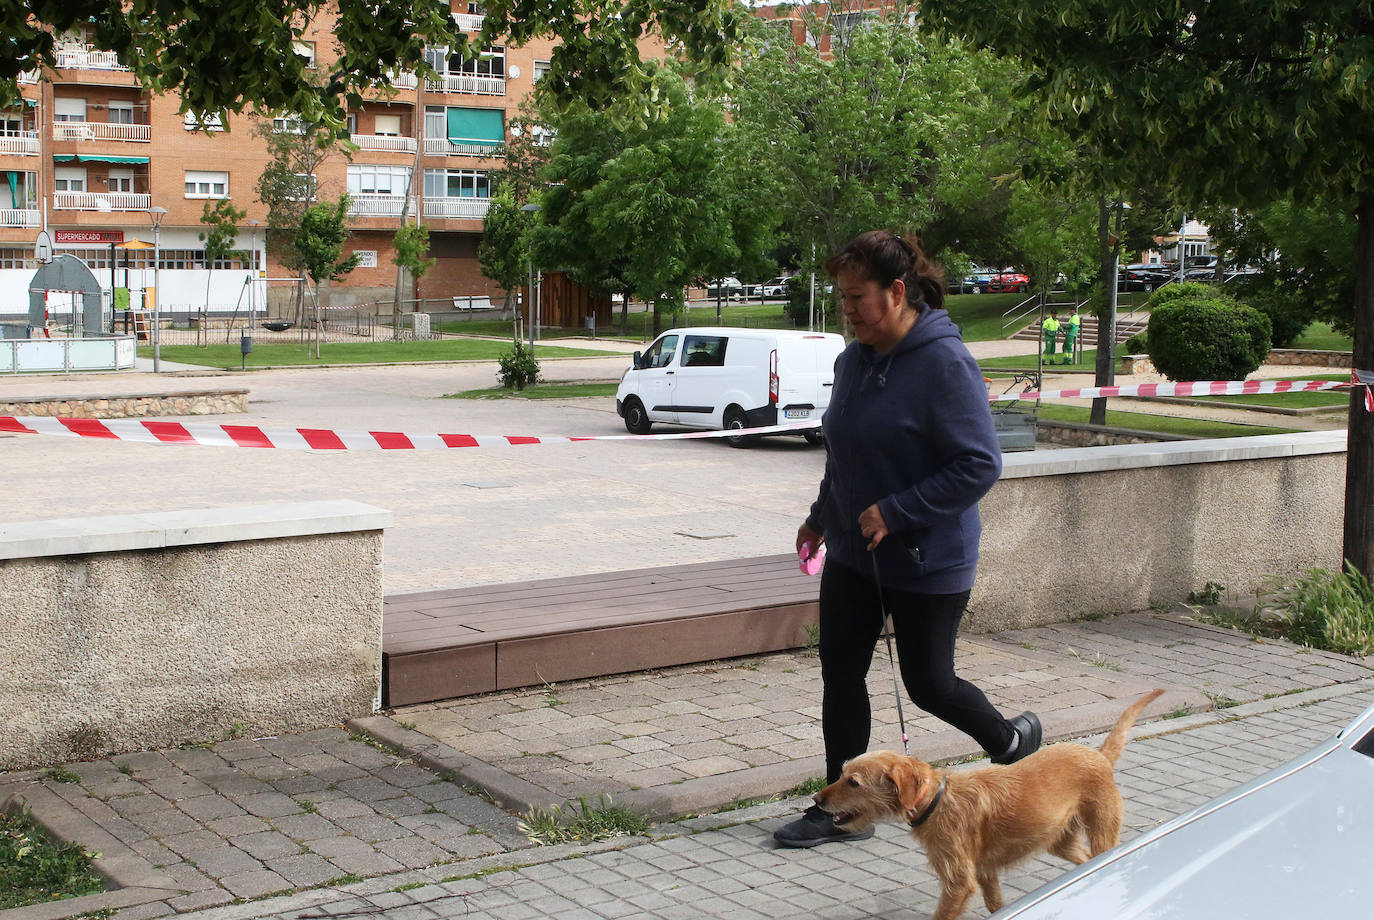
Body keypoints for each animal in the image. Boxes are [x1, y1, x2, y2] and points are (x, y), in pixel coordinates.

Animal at [807, 692, 1165, 920]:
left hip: (1103, 829)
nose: (817, 800)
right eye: (842, 773)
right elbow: (996, 904)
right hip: (1060, 840)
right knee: (1085, 860)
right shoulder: (985, 872)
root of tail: (1100, 756)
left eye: (854, 782)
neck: (938, 800)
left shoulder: (959, 881)